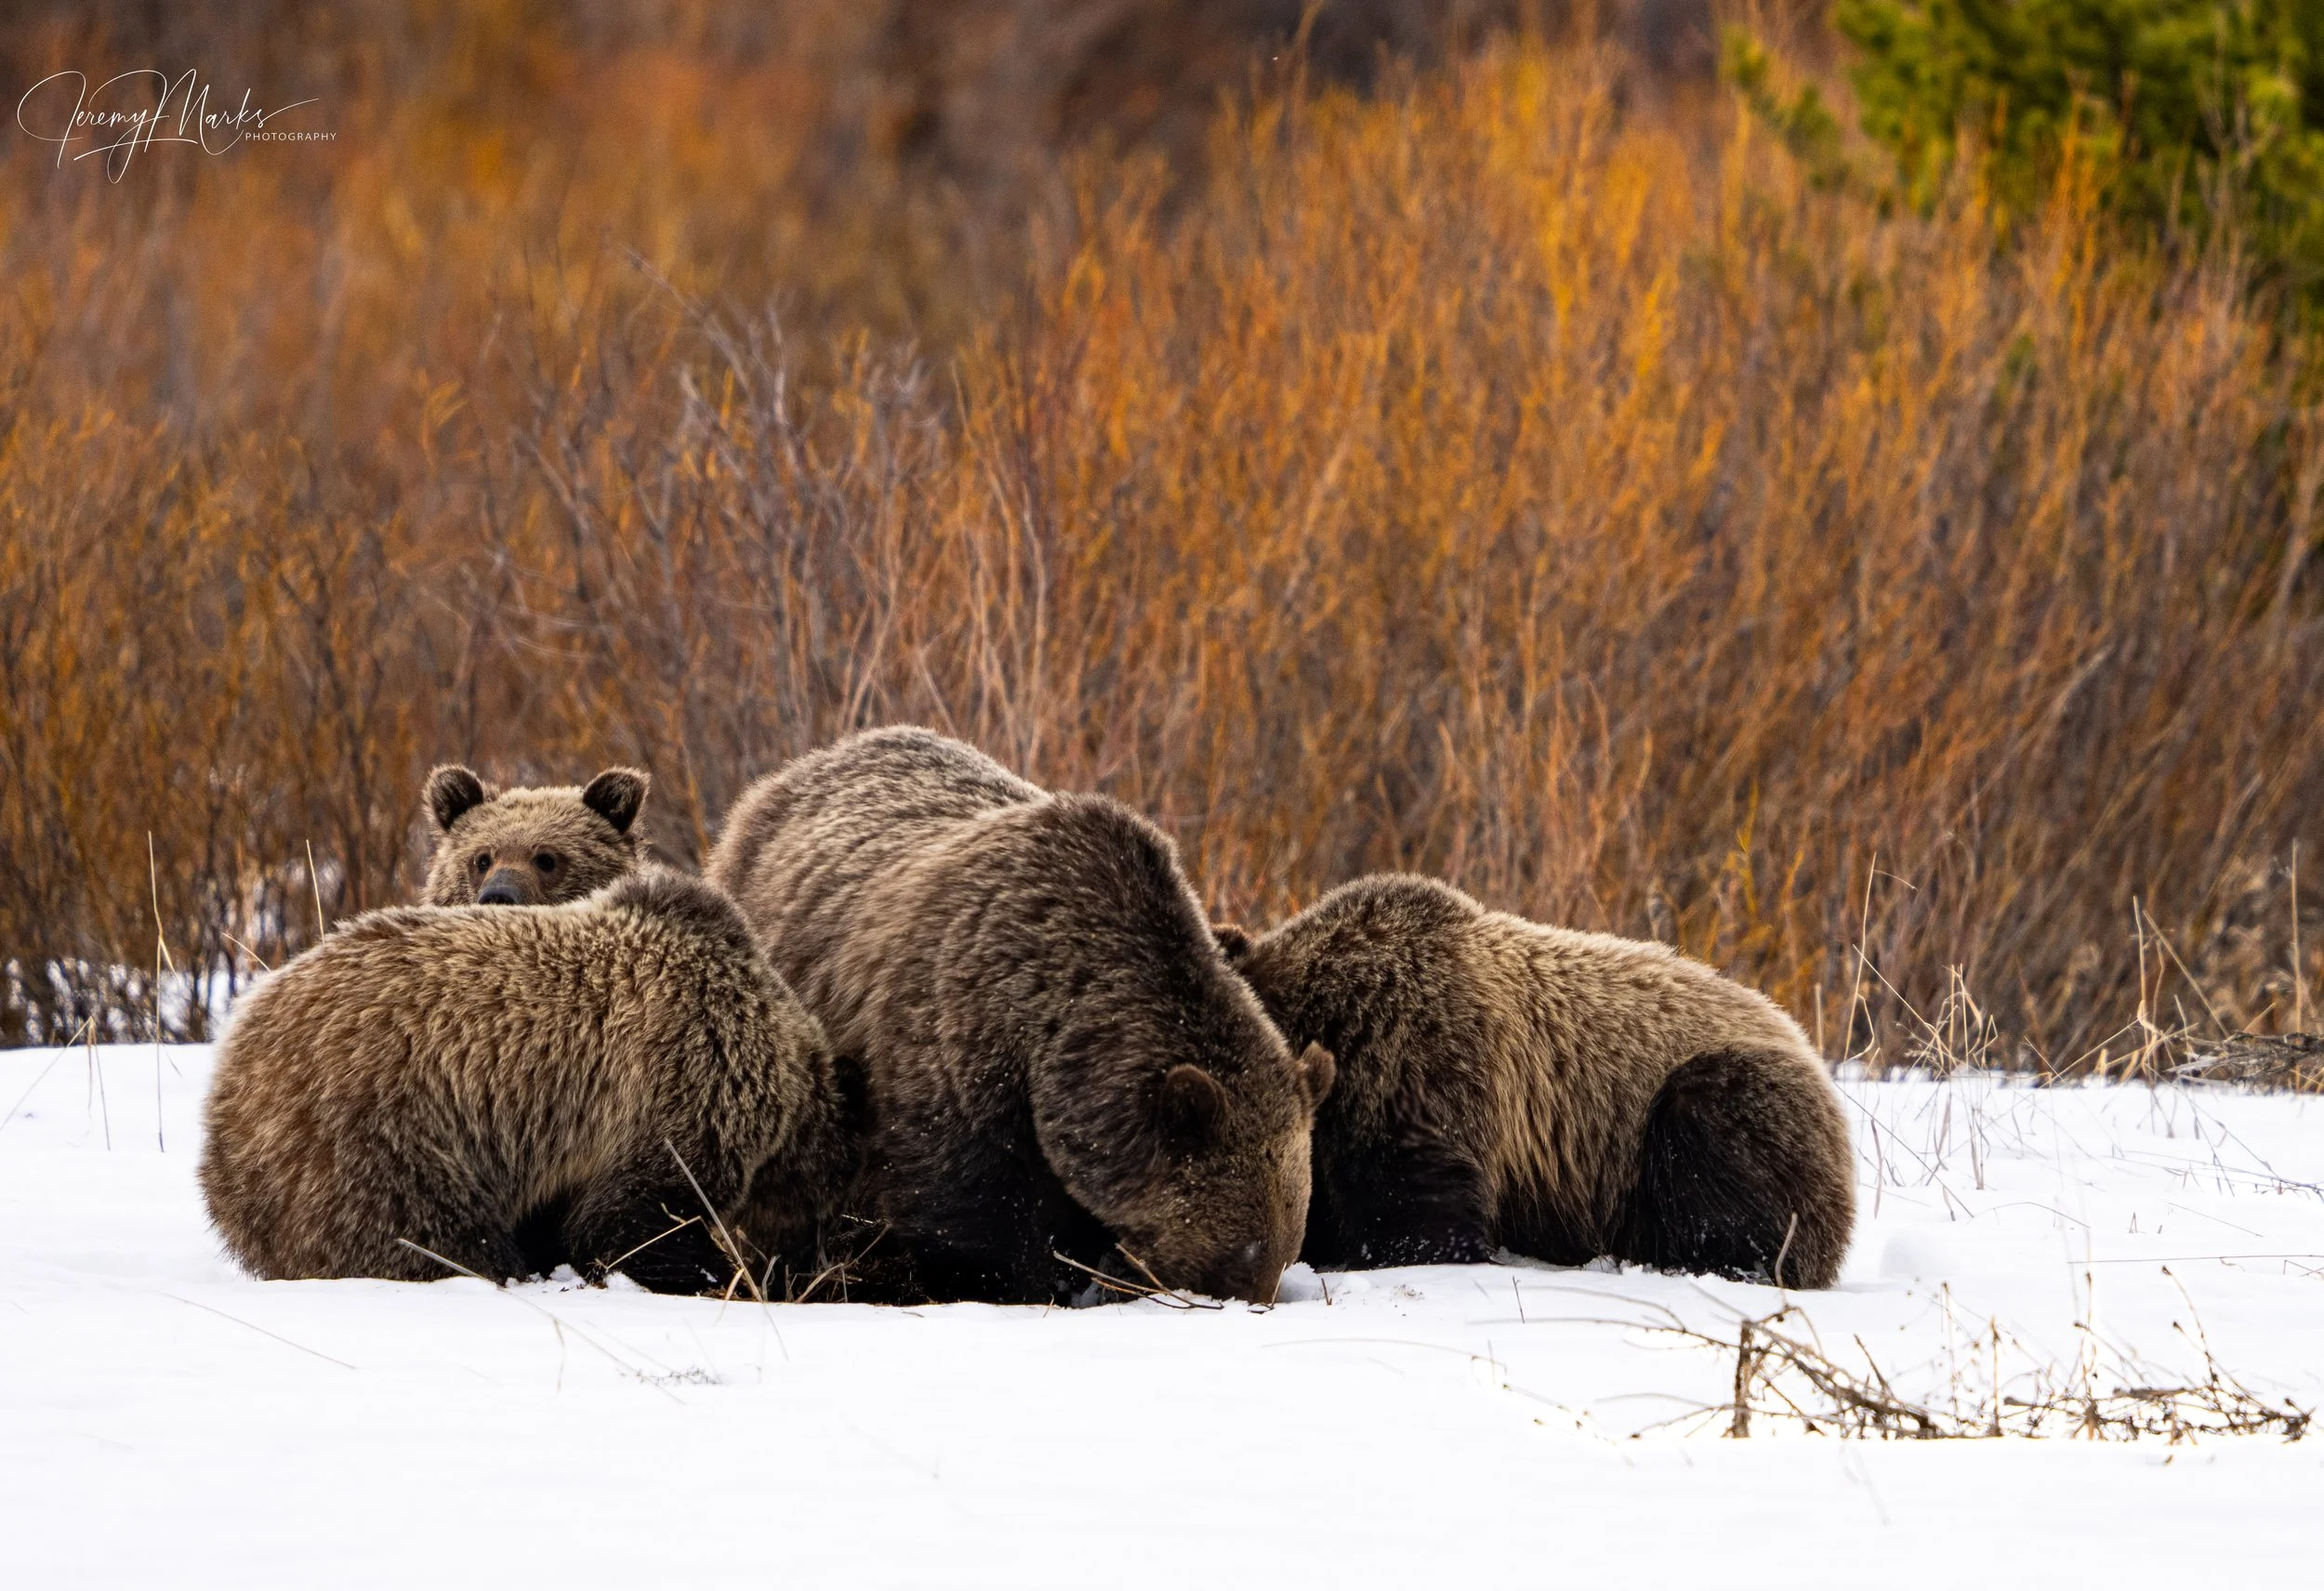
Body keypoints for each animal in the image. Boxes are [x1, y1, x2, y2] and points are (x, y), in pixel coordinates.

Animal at [199, 867, 852, 1297]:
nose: (812, 1265)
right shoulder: (681, 1081)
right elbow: (634, 1217)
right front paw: (709, 1272)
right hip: (372, 1134)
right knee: (428, 1233)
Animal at [706, 726, 1334, 1306]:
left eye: (1288, 1243)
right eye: (1242, 1250)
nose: (1257, 1299)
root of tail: (797, 770)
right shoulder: (958, 1047)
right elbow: (969, 1211)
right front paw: (1014, 1284)